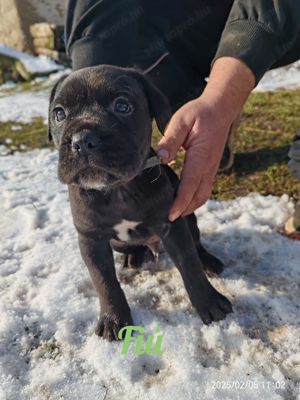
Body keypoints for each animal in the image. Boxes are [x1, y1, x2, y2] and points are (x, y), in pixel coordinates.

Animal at [48, 65, 232, 340]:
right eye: (59, 113)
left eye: (122, 106)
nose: (82, 140)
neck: (117, 190)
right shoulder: (90, 239)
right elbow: (104, 281)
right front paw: (113, 319)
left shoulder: (172, 225)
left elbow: (189, 264)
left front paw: (209, 303)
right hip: (118, 244)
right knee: (134, 248)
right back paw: (133, 258)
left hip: (189, 220)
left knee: (196, 244)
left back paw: (208, 261)